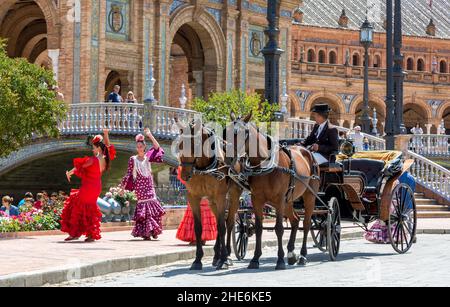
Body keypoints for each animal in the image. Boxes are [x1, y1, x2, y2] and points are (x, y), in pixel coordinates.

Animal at [178, 120, 244, 270]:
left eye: (195, 145)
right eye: (180, 145)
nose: (184, 175)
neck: (204, 167)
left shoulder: (220, 196)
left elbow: (222, 227)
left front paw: (224, 260)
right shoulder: (193, 197)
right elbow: (198, 228)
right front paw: (197, 260)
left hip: (233, 196)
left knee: (228, 223)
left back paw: (227, 255)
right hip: (212, 201)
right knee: (220, 222)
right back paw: (216, 256)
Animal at [227, 113, 318, 270]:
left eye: (242, 132)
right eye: (226, 131)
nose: (229, 158)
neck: (265, 163)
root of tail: (308, 151)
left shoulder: (279, 199)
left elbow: (279, 228)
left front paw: (280, 260)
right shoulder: (257, 199)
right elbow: (258, 228)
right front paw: (255, 259)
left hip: (309, 196)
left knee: (306, 224)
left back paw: (302, 255)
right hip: (289, 200)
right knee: (295, 220)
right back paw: (291, 253)